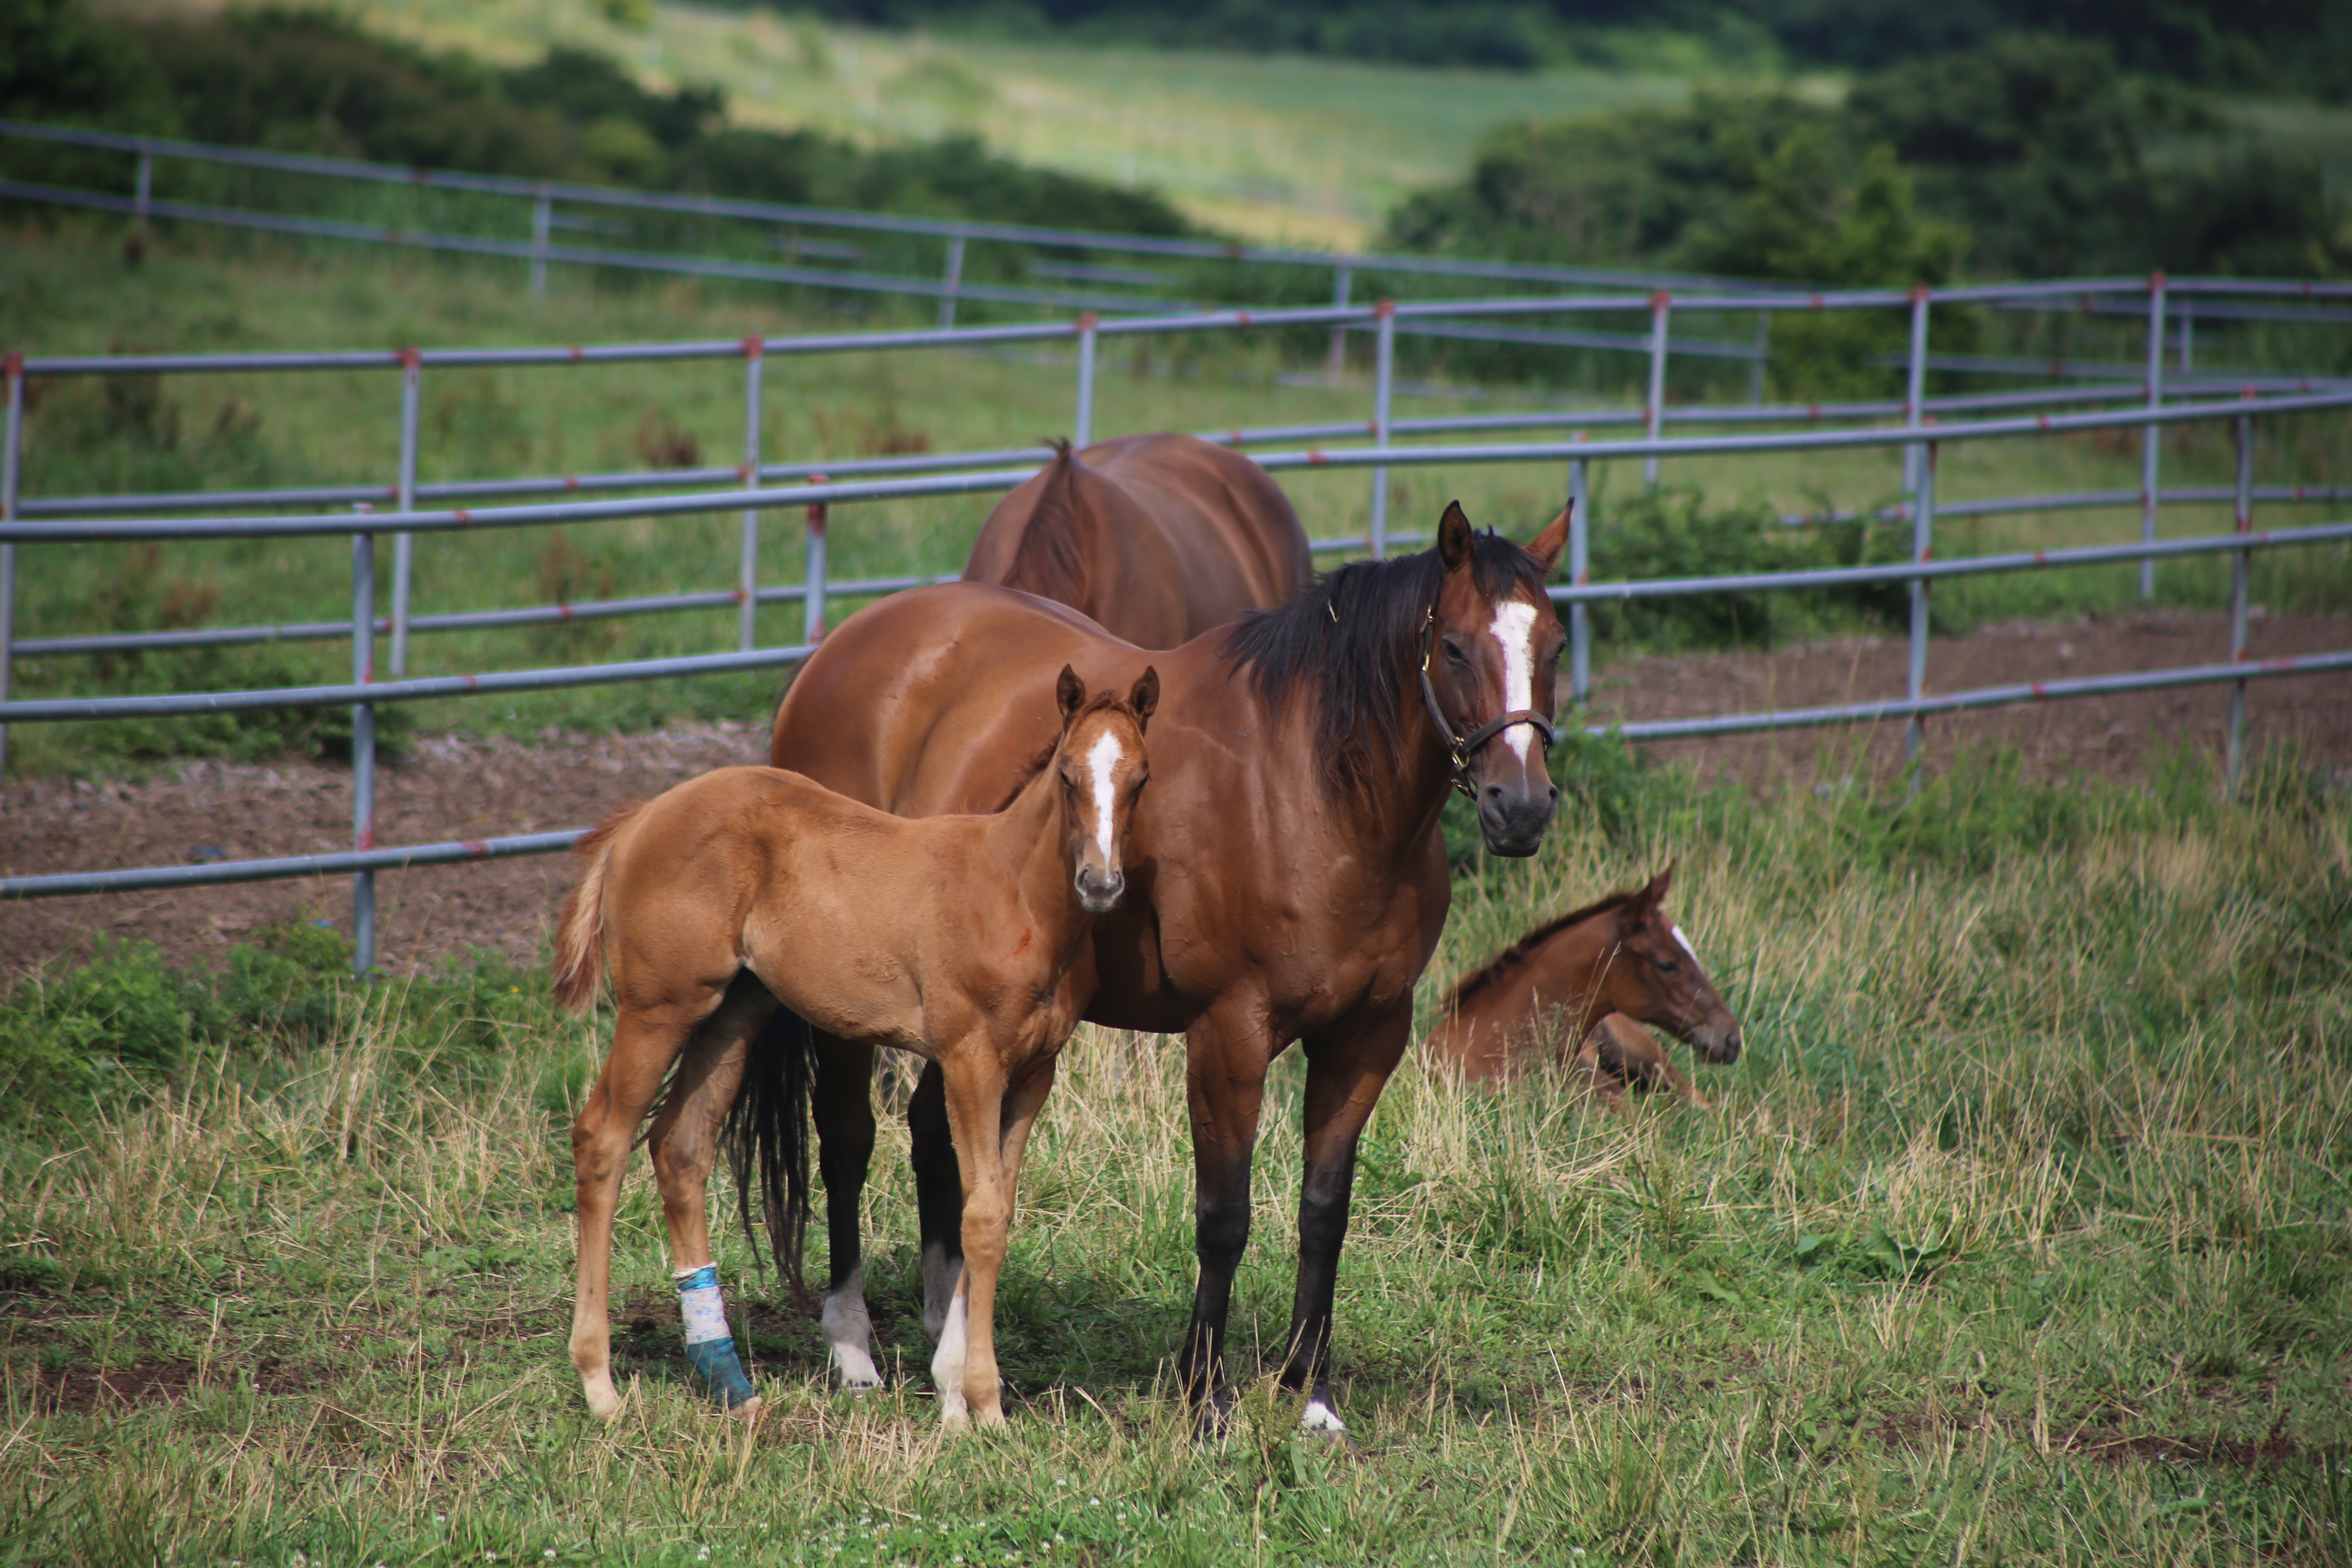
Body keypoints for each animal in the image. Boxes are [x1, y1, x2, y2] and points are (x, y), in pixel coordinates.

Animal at [541, 668, 1147, 1429]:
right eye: (1067, 775)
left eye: (1141, 779)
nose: (1101, 884)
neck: (1015, 892)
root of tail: (640, 820)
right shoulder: (970, 1059)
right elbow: (979, 1218)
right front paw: (982, 1405)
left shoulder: (1035, 1072)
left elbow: (998, 1210)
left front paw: (960, 1392)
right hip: (660, 1010)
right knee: (604, 1139)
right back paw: (600, 1384)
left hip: (732, 1014)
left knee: (680, 1146)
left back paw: (729, 1380)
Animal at [724, 503, 1571, 1439]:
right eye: (1453, 647)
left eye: (1556, 644)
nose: (1520, 807)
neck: (1311, 795)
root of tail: (836, 651)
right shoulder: (1230, 1033)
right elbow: (1224, 1217)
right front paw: (1206, 1398)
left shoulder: (1367, 1036)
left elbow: (1325, 1212)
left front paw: (1308, 1395)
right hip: (849, 1010)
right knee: (847, 1140)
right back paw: (853, 1349)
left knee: (935, 1142)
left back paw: (951, 1327)